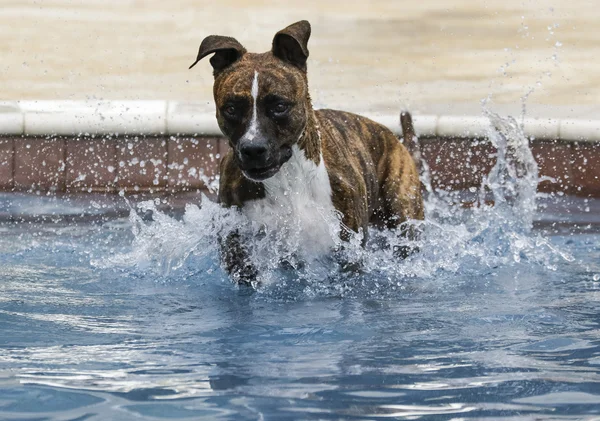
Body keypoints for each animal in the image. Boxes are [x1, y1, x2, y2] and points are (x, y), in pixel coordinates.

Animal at [190, 18, 424, 282]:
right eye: (231, 108)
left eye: (279, 106)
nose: (252, 149)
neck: (288, 178)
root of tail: (396, 140)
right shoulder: (238, 249)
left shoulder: (348, 253)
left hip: (405, 215)